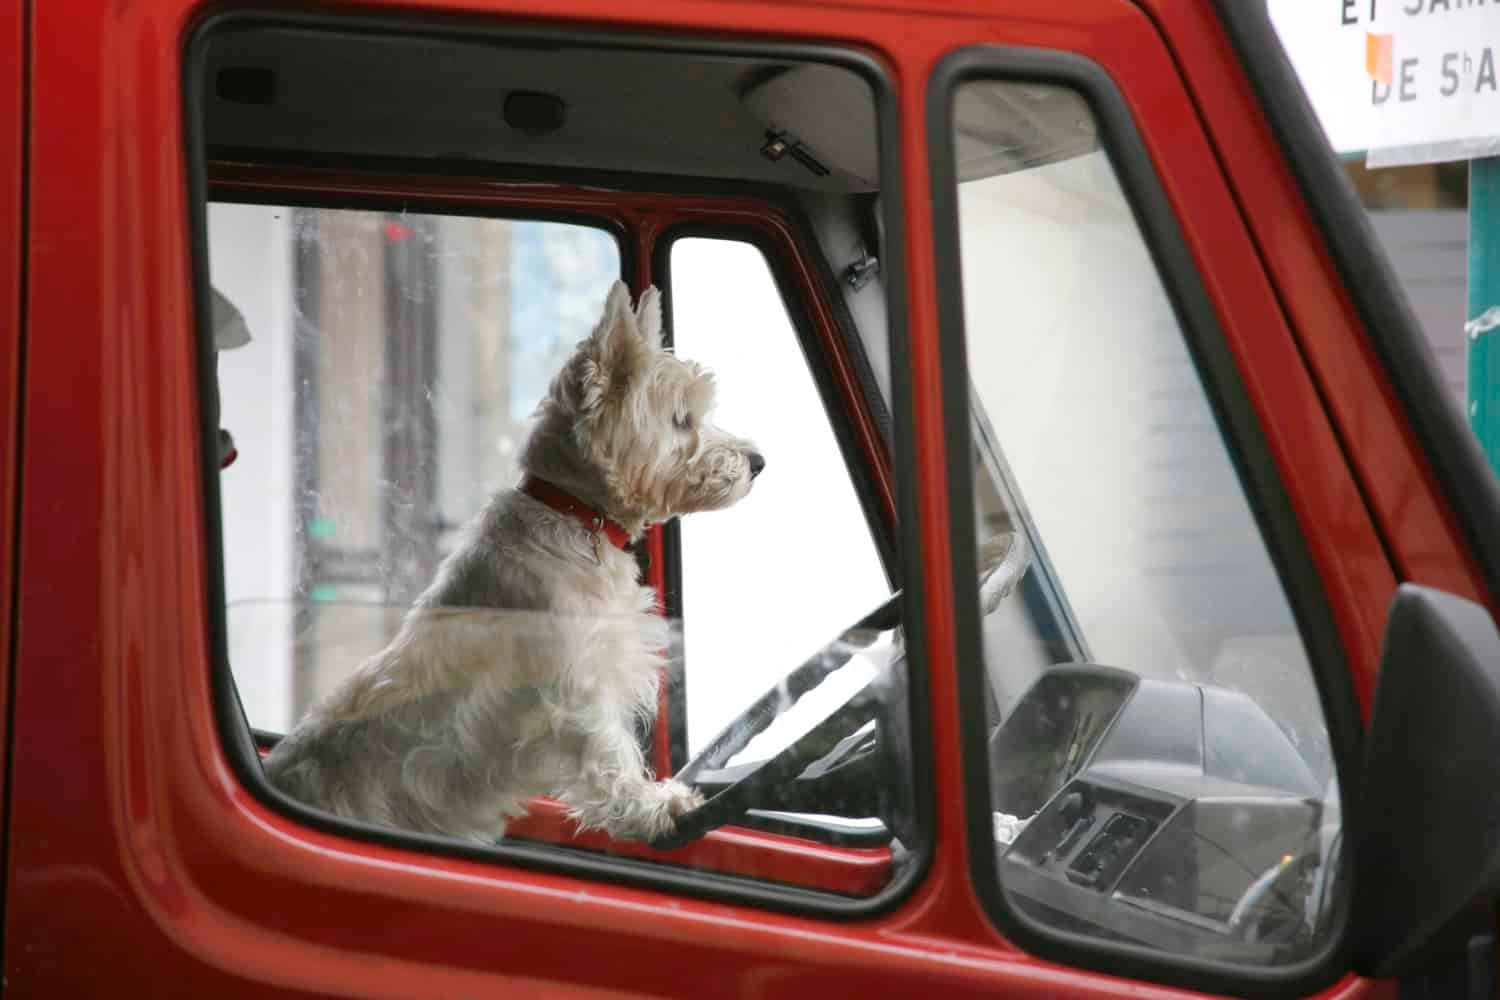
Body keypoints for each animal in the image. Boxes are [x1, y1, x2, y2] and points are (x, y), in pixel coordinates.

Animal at [259, 281, 768, 845]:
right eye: (680, 420)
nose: (757, 463)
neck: (575, 514)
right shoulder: (577, 688)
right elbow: (610, 753)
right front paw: (654, 805)